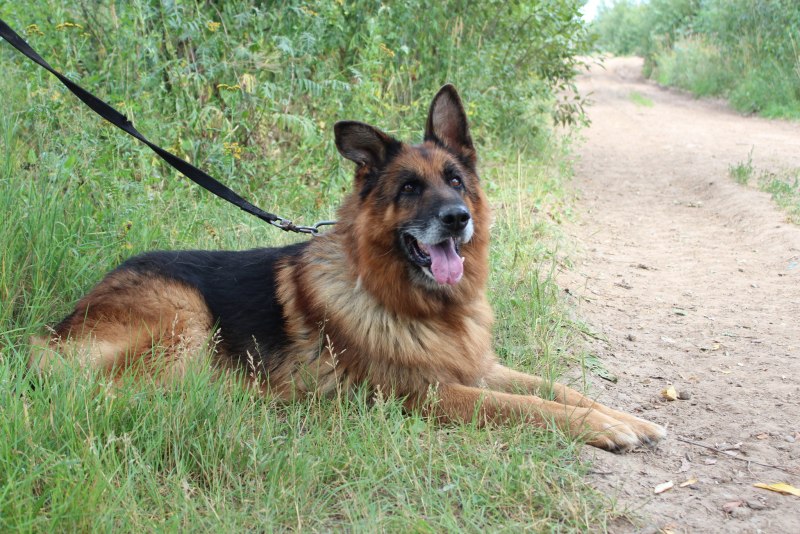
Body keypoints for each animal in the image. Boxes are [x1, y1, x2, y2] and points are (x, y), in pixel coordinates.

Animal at [30, 85, 666, 452]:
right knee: (119, 392)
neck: (411, 302)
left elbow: (555, 387)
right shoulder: (432, 395)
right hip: (185, 315)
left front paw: (621, 417)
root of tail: (60, 326)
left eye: (456, 181)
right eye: (409, 189)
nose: (457, 219)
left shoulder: (477, 367)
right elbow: (528, 406)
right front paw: (602, 429)